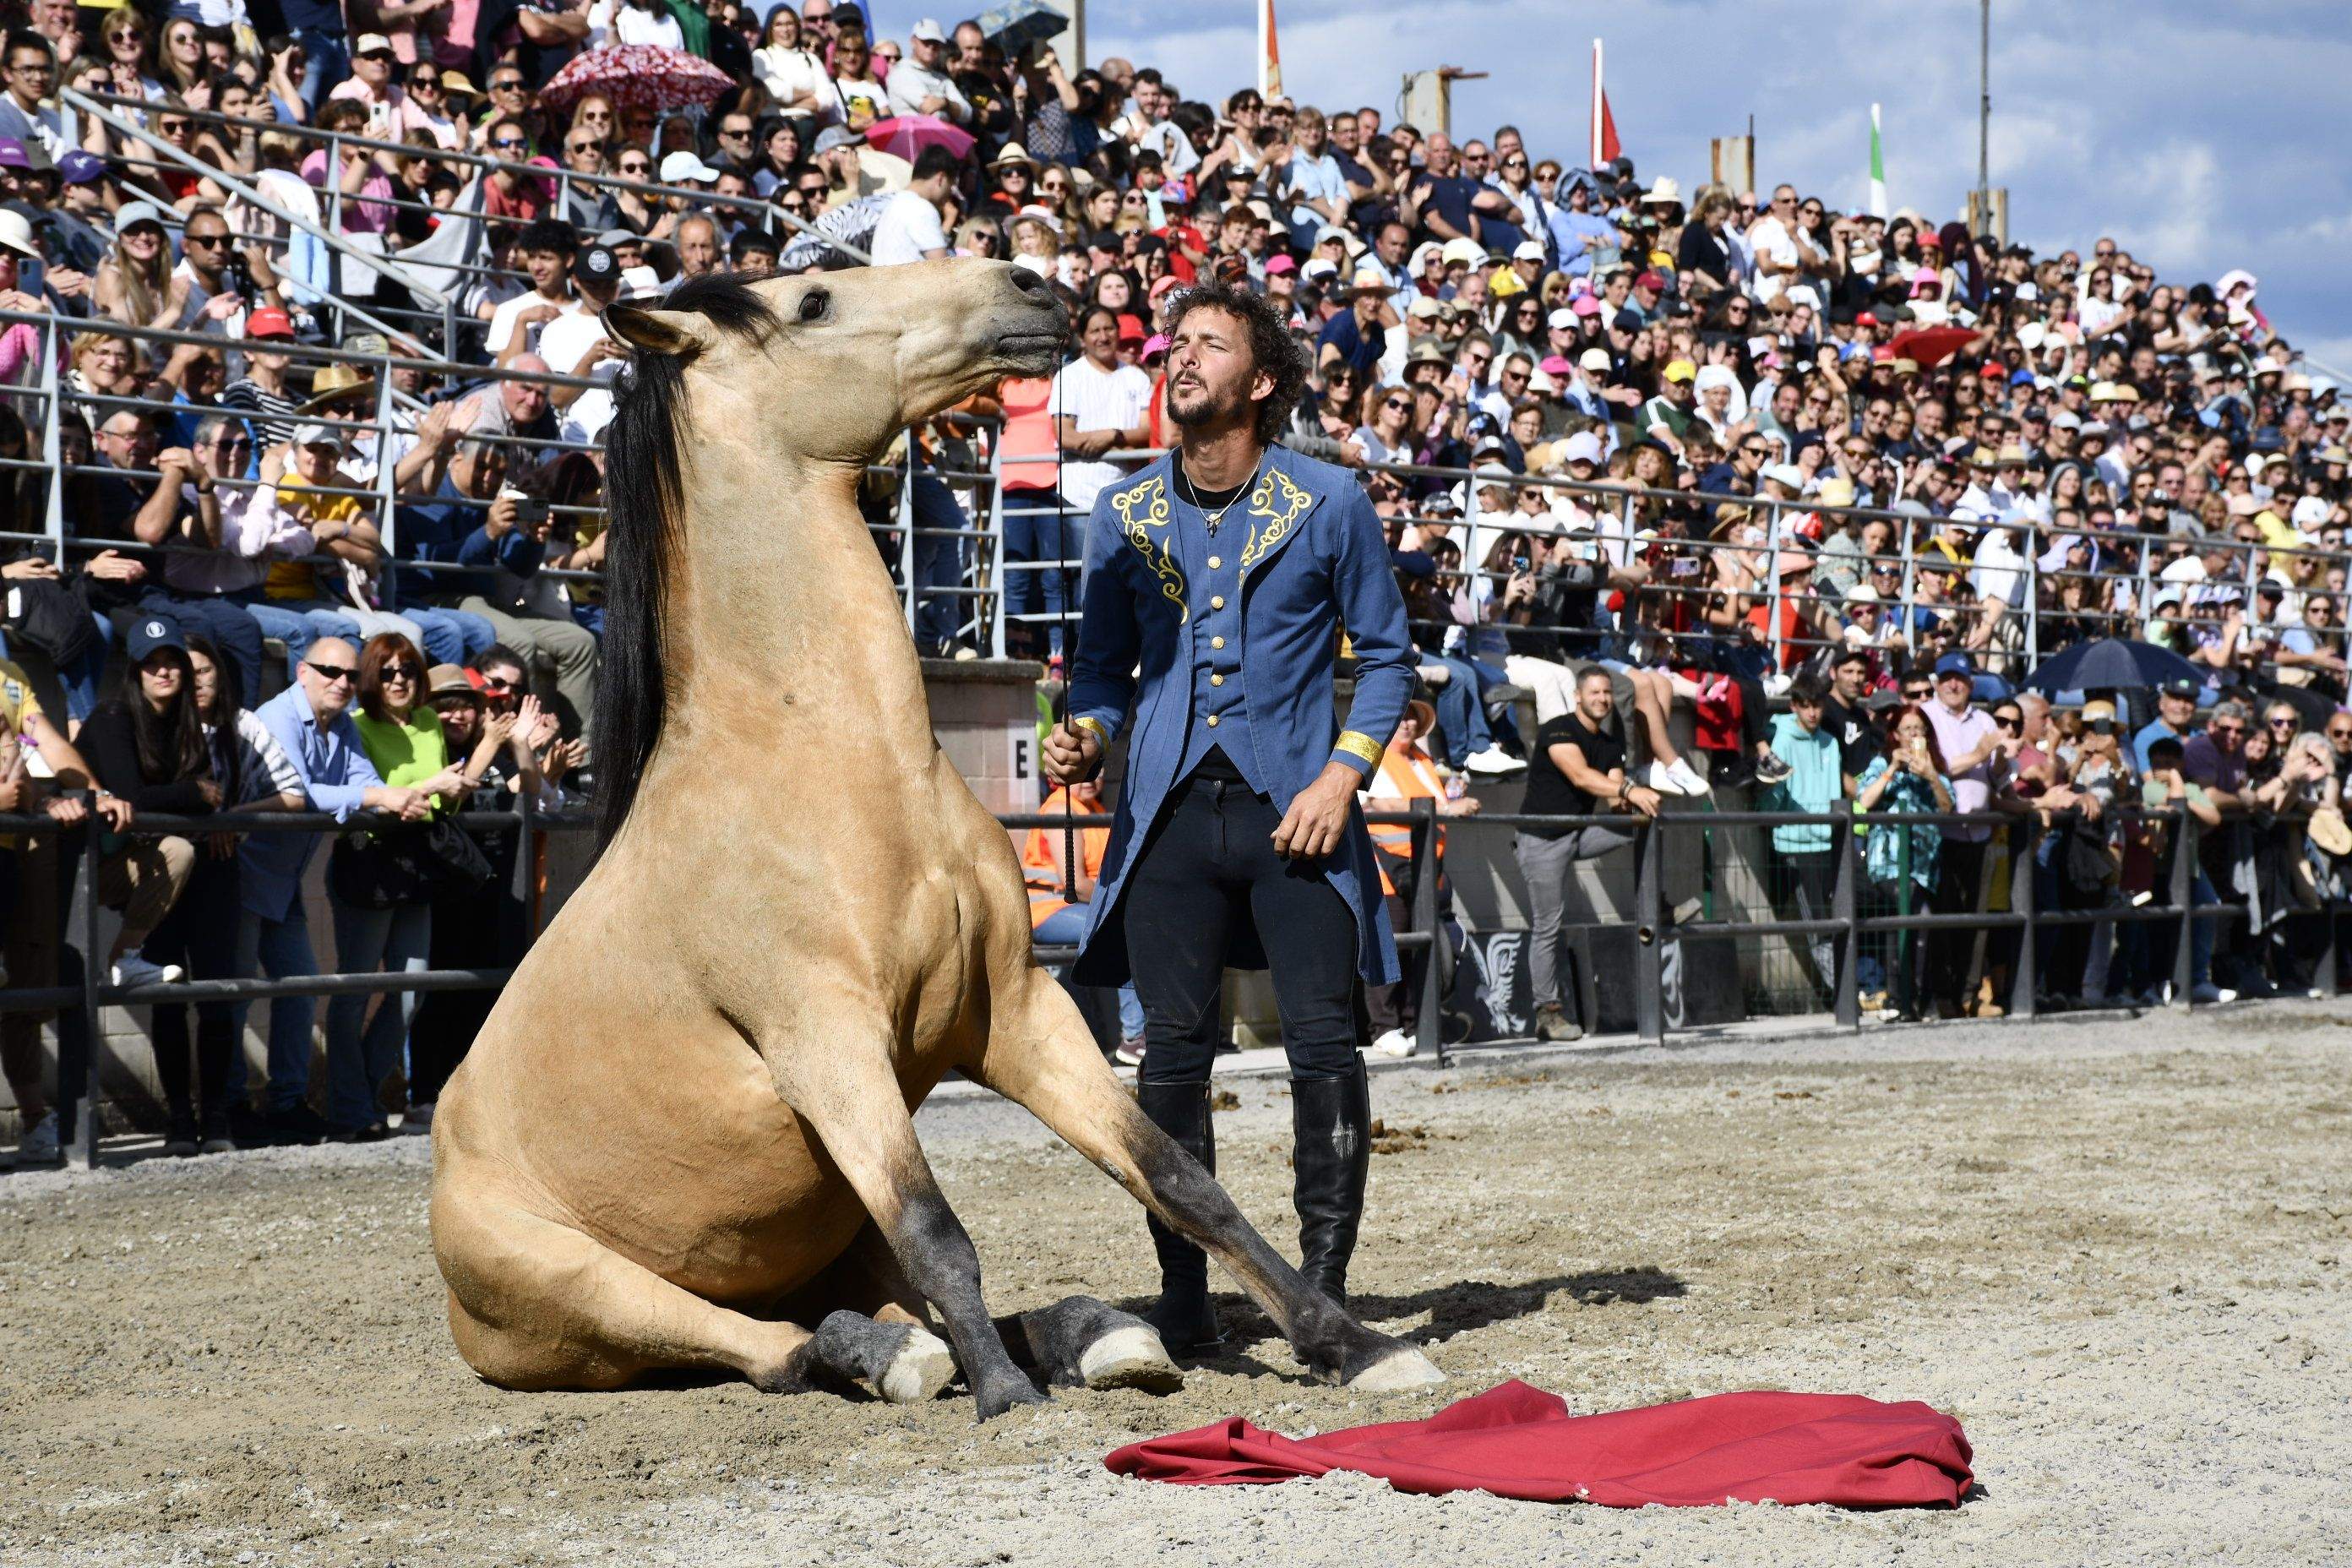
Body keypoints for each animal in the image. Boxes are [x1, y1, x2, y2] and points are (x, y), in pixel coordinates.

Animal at [430, 263, 1439, 1419]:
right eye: (813, 301)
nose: (1032, 285)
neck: (834, 768)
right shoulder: (828, 1043)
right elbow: (939, 1227)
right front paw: (1006, 1398)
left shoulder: (1018, 1011)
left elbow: (1181, 1178)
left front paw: (1353, 1343)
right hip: (582, 1283)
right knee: (777, 1342)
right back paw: (901, 1358)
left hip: (827, 1224)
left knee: (882, 1300)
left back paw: (1100, 1334)